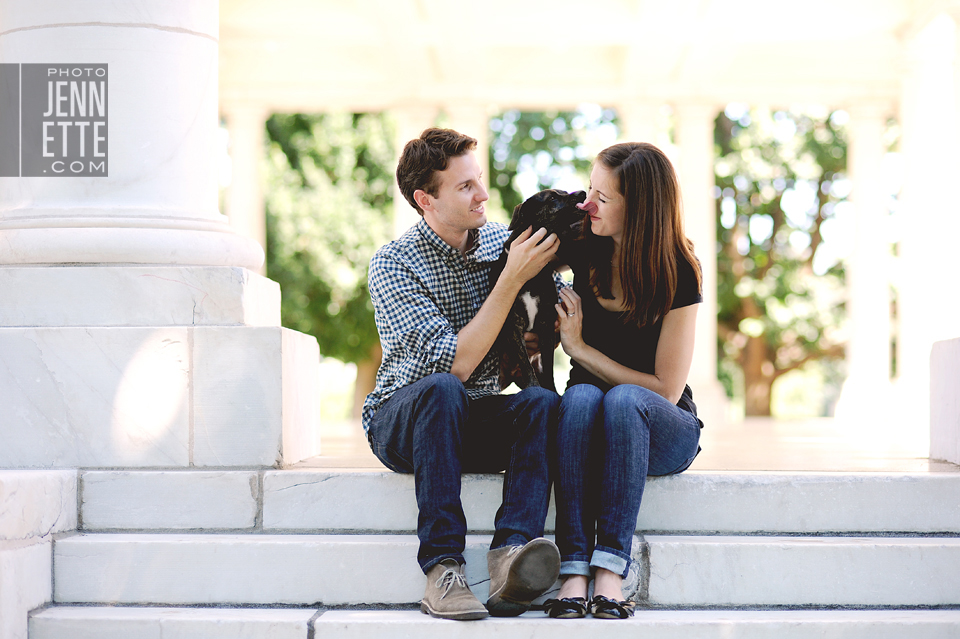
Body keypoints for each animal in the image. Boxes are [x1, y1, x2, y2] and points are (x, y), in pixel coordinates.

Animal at [488, 188, 584, 392]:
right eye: (553, 197)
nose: (582, 193)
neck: (532, 275)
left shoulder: (546, 323)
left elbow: (548, 367)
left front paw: (551, 391)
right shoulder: (514, 325)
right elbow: (525, 361)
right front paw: (535, 387)